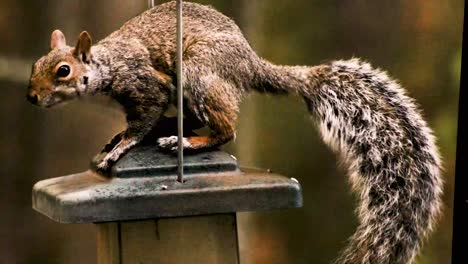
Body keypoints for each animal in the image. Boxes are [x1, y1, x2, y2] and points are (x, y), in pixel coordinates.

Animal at [25, 1, 442, 262]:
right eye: (35, 65)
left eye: (63, 71)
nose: (31, 97)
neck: (105, 67)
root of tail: (251, 65)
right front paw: (114, 139)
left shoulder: (146, 85)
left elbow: (141, 123)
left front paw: (122, 145)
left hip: (198, 74)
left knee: (226, 129)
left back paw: (188, 141)